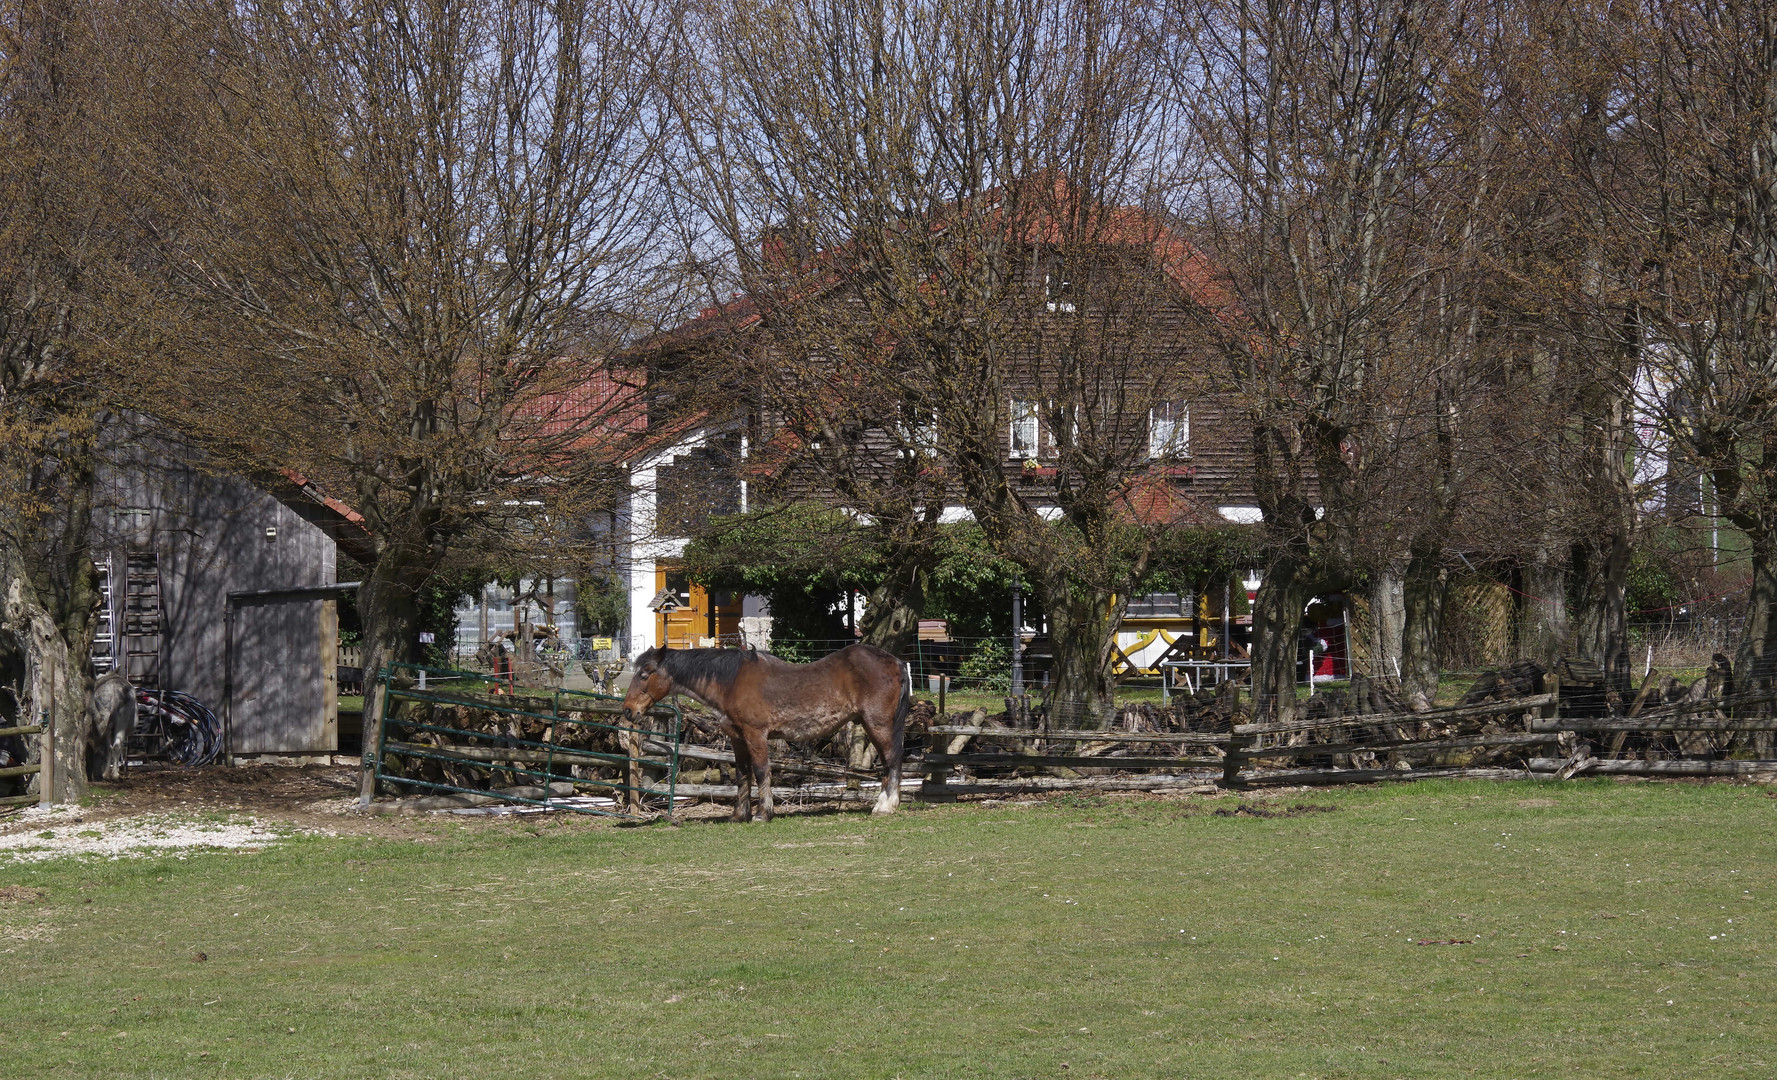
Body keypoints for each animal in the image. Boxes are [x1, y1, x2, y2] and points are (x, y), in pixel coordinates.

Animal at [621, 646, 909, 824]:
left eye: (644, 674)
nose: (628, 710)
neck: (730, 682)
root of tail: (895, 662)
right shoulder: (737, 738)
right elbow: (742, 773)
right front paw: (739, 814)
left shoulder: (755, 734)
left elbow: (761, 771)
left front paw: (763, 813)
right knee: (887, 763)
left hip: (878, 724)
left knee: (892, 761)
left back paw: (886, 806)